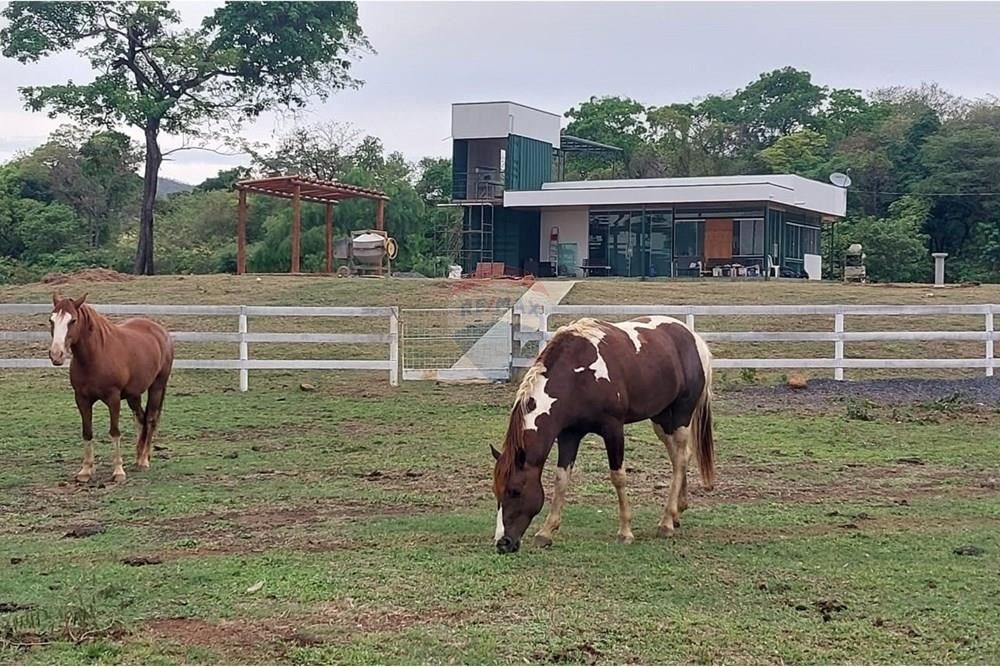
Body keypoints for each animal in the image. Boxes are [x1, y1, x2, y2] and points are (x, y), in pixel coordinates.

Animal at [47, 294, 175, 482]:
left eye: (73, 321)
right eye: (52, 320)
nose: (56, 355)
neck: (95, 356)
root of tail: (160, 331)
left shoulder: (113, 399)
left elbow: (114, 432)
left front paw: (118, 471)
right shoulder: (82, 399)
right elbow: (87, 432)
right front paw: (86, 470)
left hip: (157, 386)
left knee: (150, 419)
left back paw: (144, 460)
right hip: (133, 394)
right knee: (140, 418)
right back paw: (138, 457)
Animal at [490, 316, 712, 556]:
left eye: (515, 491)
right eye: (496, 491)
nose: (503, 543)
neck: (576, 376)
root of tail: (692, 336)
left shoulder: (613, 429)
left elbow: (618, 477)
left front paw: (625, 532)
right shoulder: (569, 435)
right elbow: (561, 479)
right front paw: (546, 532)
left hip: (681, 415)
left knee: (680, 459)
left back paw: (666, 522)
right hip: (661, 418)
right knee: (681, 456)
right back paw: (678, 511)